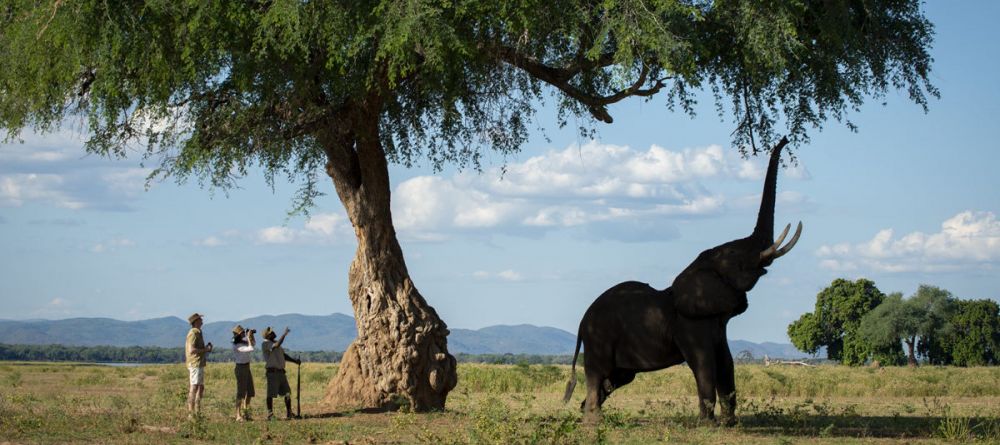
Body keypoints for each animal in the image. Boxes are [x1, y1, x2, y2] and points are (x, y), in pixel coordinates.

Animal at [568, 136, 800, 424]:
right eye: (733, 253)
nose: (785, 138)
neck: (696, 268)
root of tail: (581, 322)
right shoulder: (690, 323)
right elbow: (705, 365)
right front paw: (708, 425)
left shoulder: (716, 324)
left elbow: (726, 364)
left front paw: (729, 424)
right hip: (598, 337)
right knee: (597, 374)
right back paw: (593, 423)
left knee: (613, 379)